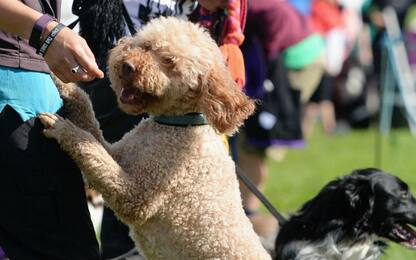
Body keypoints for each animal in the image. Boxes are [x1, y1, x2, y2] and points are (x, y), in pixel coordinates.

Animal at [38, 17, 270, 258]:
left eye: (169, 61)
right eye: (146, 46)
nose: (127, 66)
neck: (174, 125)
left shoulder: (137, 196)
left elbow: (92, 150)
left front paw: (65, 130)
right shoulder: (120, 154)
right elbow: (89, 120)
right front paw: (60, 79)